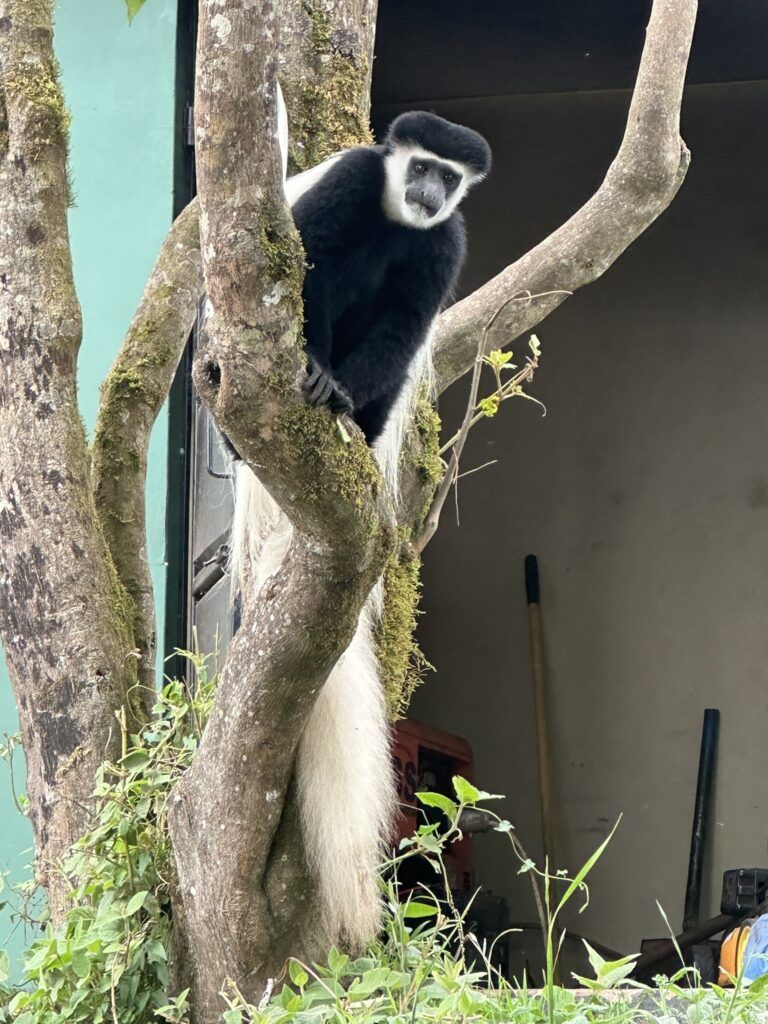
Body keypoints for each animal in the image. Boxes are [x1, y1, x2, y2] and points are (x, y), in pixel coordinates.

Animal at [230, 103, 493, 950]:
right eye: (420, 166)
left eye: (448, 179)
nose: (427, 192)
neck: (397, 216)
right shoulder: (350, 182)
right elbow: (300, 263)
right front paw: (312, 370)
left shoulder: (447, 240)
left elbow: (404, 323)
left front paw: (340, 391)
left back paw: (351, 414)